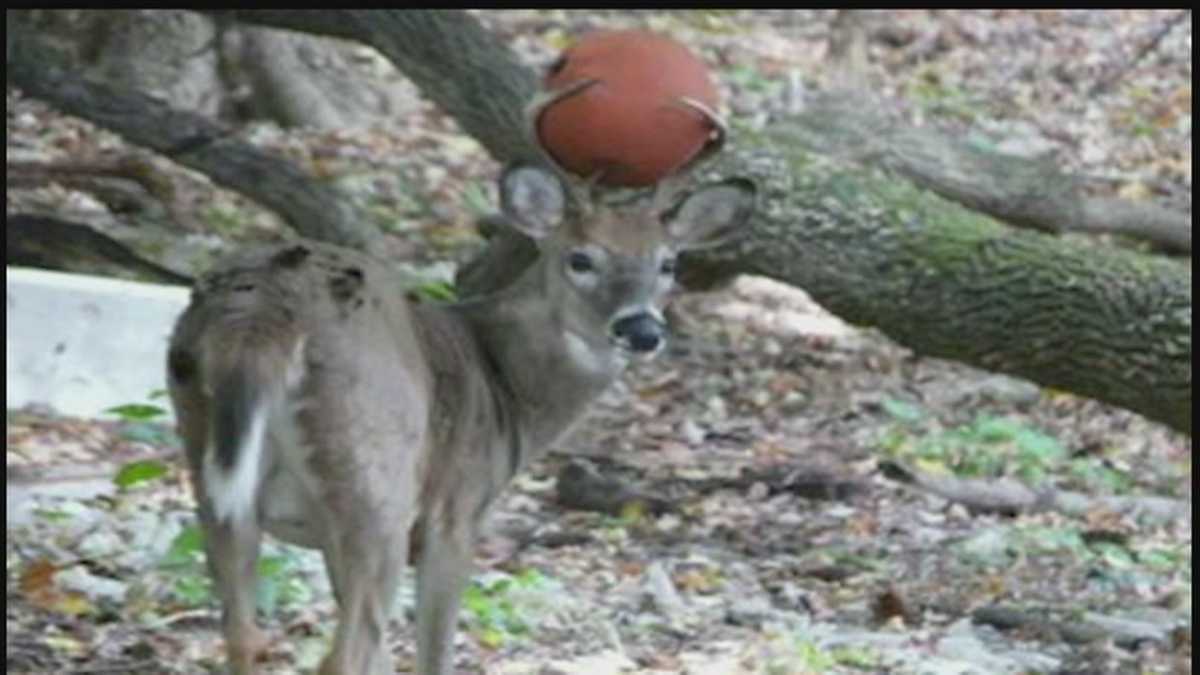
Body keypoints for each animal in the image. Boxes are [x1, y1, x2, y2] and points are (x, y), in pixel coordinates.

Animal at [166, 78, 756, 675]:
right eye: (580, 259)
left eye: (668, 263)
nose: (641, 329)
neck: (504, 382)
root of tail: (266, 311)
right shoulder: (456, 511)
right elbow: (431, 652)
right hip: (377, 489)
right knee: (341, 653)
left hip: (215, 480)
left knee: (244, 637)